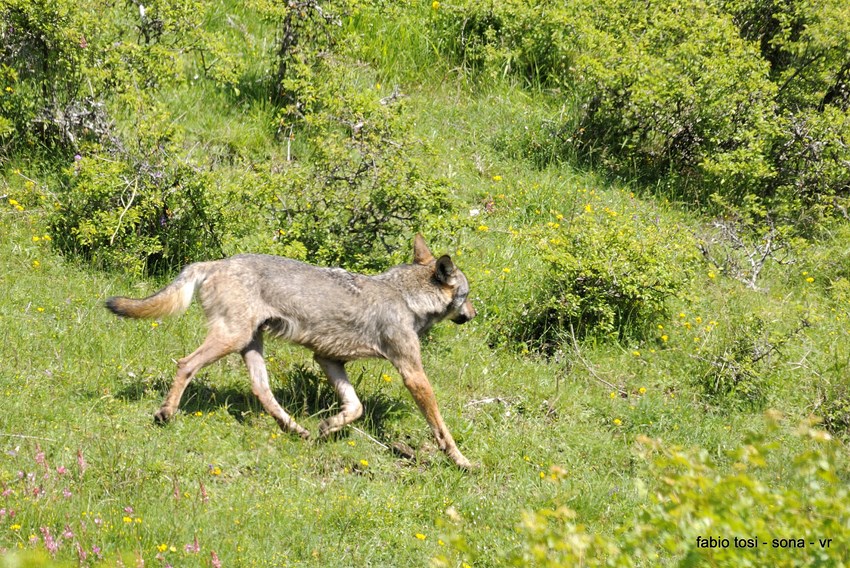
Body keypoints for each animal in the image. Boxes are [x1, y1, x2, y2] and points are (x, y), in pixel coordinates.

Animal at [105, 233, 474, 468]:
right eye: (467, 297)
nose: (473, 315)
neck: (407, 298)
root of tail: (213, 263)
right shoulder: (412, 373)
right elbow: (441, 428)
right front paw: (462, 461)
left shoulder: (328, 358)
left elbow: (355, 407)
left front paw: (329, 426)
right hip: (232, 338)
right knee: (185, 364)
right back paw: (165, 413)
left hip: (250, 344)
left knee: (261, 390)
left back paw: (295, 428)